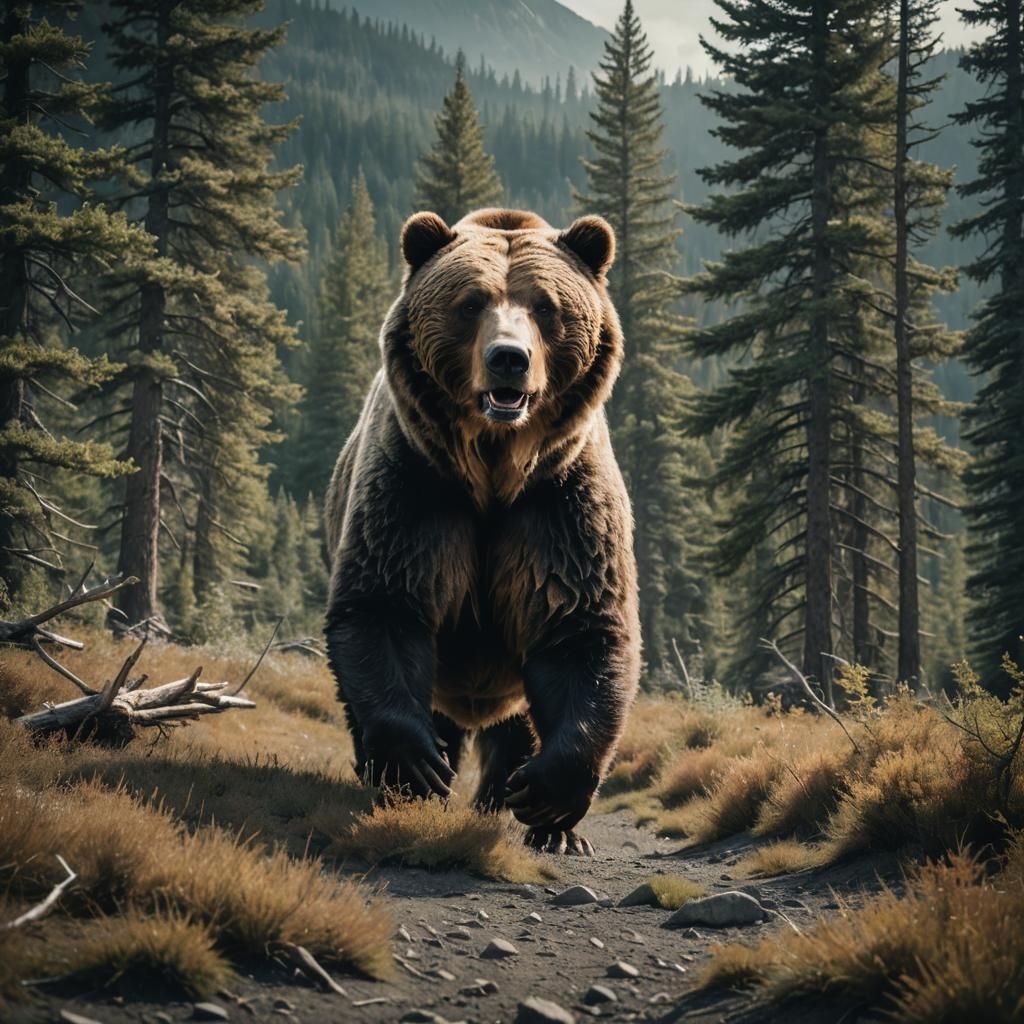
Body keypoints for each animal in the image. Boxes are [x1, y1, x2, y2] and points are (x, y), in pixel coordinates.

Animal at [324, 207, 640, 855]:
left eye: (545, 305)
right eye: (471, 302)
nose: (508, 358)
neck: (494, 470)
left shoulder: (559, 505)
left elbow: (580, 630)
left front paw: (548, 800)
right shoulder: (417, 486)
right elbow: (385, 606)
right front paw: (416, 768)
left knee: (514, 722)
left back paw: (513, 803)